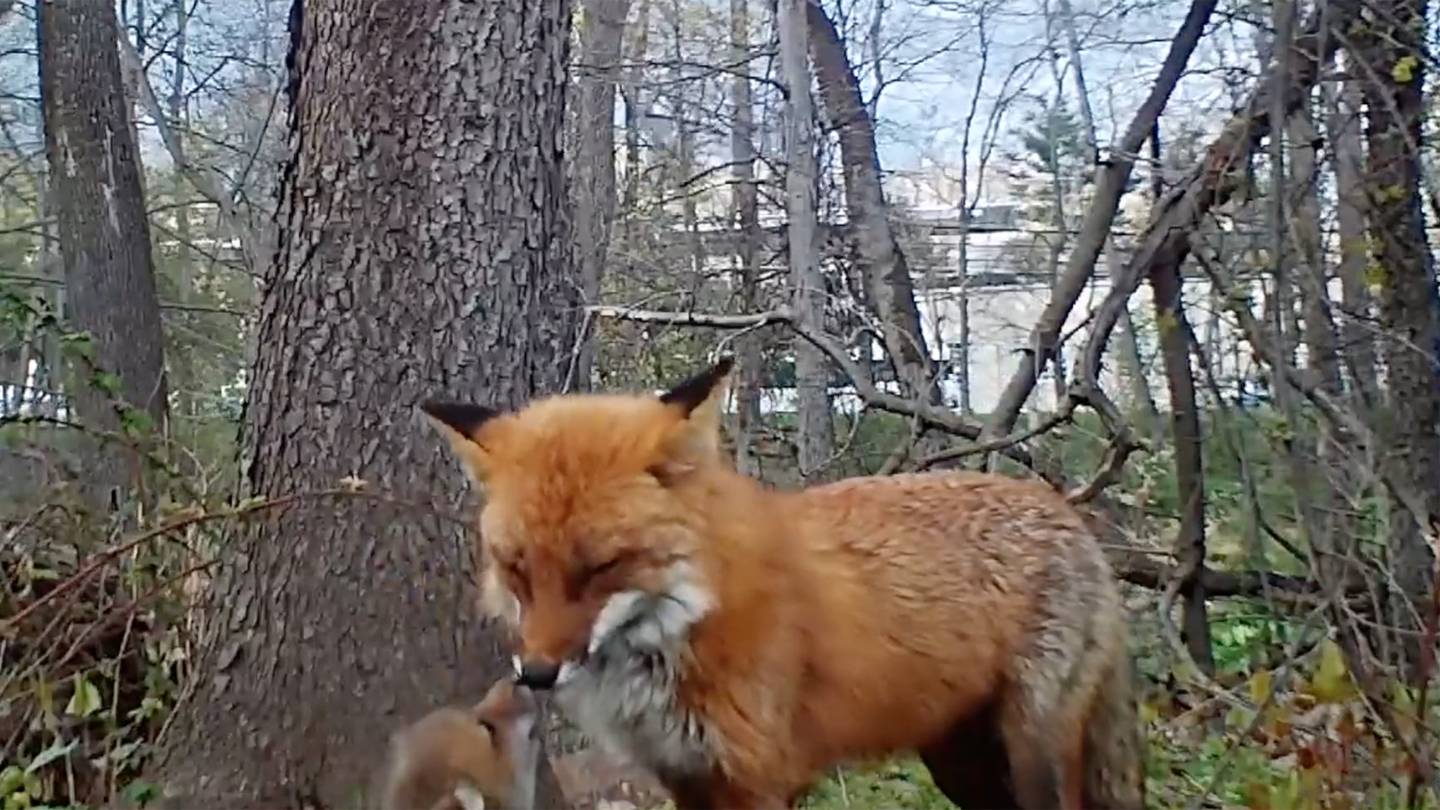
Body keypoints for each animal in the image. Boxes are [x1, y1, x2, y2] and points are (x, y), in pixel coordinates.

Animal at [418, 357, 1146, 810]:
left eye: (600, 568)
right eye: (516, 567)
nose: (537, 675)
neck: (678, 629)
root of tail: (1069, 513)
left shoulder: (758, 777)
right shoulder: (685, 776)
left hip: (1032, 753)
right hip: (960, 762)